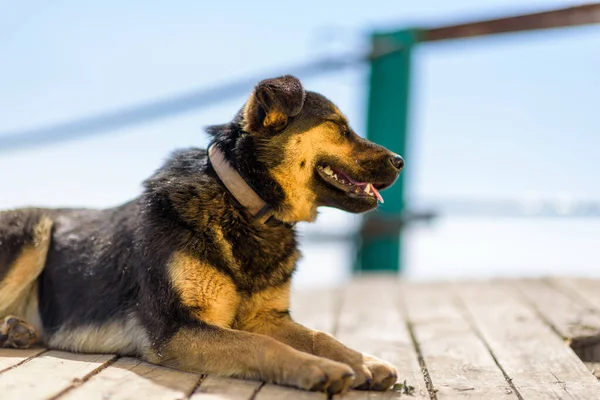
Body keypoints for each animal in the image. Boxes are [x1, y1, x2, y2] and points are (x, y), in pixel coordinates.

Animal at [0, 75, 406, 394]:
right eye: (339, 127)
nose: (401, 161)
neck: (243, 204)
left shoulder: (267, 318)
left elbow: (320, 336)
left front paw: (363, 360)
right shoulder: (178, 328)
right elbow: (261, 345)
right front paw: (319, 368)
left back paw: (16, 330)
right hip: (31, 233)